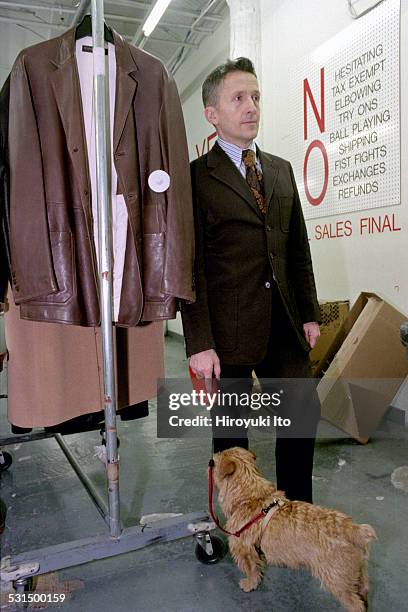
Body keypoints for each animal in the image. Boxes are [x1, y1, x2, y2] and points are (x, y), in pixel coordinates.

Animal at [214, 444, 376, 612]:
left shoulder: (245, 551)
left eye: (213, 463)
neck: (250, 497)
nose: (208, 462)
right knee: (363, 594)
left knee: (355, 604)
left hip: (337, 580)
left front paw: (249, 584)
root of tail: (354, 529)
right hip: (358, 575)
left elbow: (251, 570)